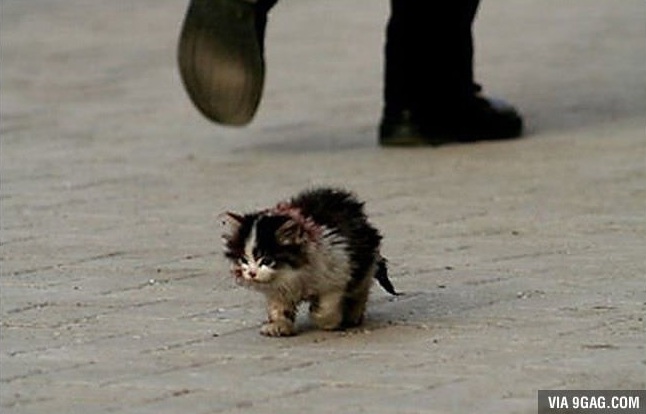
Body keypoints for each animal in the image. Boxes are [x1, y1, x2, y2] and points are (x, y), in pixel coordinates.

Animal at [222, 187, 398, 336]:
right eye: (244, 260)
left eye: (267, 260)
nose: (252, 273)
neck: (294, 272)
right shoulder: (279, 287)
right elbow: (279, 305)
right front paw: (279, 325)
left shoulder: (337, 270)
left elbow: (328, 304)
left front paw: (326, 321)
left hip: (362, 261)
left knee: (360, 288)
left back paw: (353, 315)